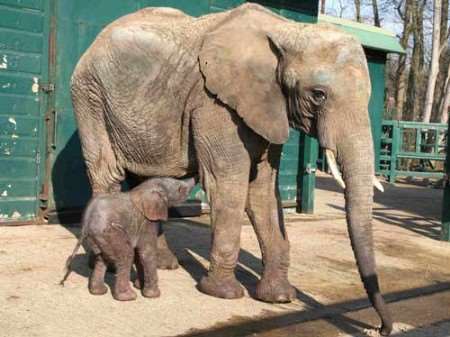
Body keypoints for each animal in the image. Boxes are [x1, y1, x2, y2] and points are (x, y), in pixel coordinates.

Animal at [59, 177, 195, 300]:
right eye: (180, 189)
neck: (144, 188)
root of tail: (86, 222)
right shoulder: (147, 222)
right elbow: (146, 253)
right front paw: (153, 295)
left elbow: (139, 255)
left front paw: (140, 286)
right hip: (110, 232)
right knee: (125, 255)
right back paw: (127, 297)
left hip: (98, 238)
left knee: (102, 259)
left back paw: (99, 291)